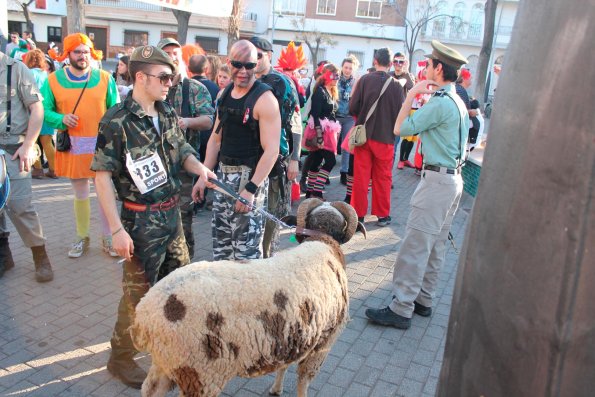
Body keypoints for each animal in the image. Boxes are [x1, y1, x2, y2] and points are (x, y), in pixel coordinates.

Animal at [128, 198, 366, 396]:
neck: (321, 240)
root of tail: (144, 317)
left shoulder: (296, 336)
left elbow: (285, 366)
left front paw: (276, 389)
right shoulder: (324, 342)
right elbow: (303, 380)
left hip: (167, 363)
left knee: (150, 389)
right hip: (200, 373)